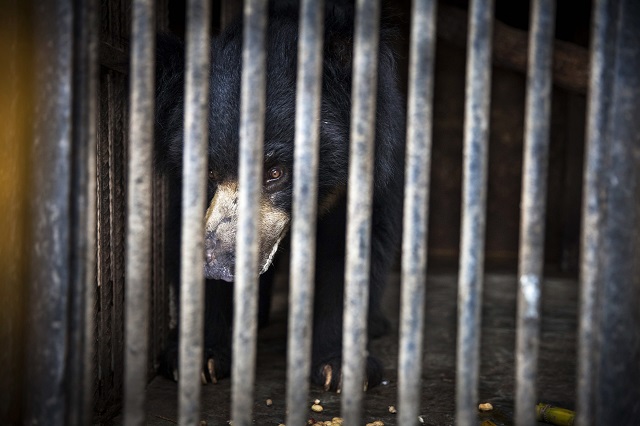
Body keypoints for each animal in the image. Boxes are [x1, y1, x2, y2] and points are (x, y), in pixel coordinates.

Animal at [154, 1, 404, 392]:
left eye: (275, 172)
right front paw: (198, 358)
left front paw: (341, 368)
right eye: (208, 173)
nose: (216, 264)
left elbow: (353, 254)